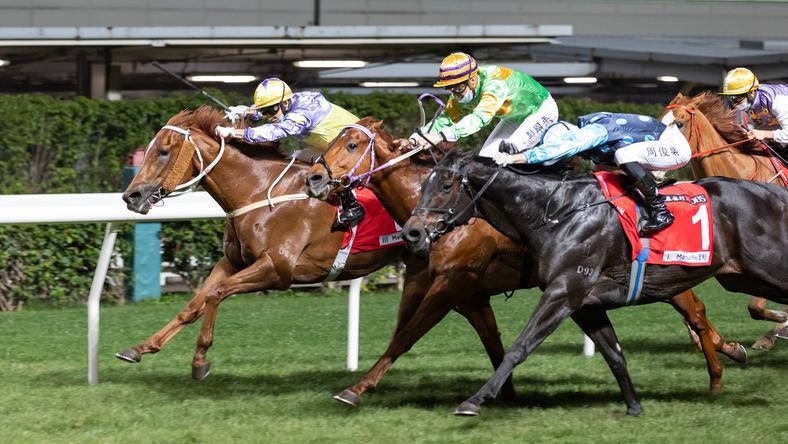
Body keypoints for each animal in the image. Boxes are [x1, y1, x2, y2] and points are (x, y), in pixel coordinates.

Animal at [117, 106, 516, 391]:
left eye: (163, 152)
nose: (130, 196)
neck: (258, 190)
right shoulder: (232, 261)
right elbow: (195, 303)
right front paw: (139, 348)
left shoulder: (276, 269)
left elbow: (215, 295)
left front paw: (200, 362)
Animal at [305, 117, 746, 401]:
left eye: (351, 144)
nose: (313, 178)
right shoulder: (446, 288)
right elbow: (485, 342)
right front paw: (505, 391)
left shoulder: (453, 283)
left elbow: (407, 336)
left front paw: (354, 390)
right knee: (696, 312)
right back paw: (727, 354)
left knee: (696, 311)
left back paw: (719, 371)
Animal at [402, 149, 788, 416]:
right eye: (425, 184)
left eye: (446, 186)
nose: (412, 233)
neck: (557, 212)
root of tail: (776, 195)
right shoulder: (583, 303)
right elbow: (614, 354)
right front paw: (634, 407)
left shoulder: (564, 292)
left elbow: (519, 347)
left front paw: (475, 400)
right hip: (741, 278)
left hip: (768, 269)